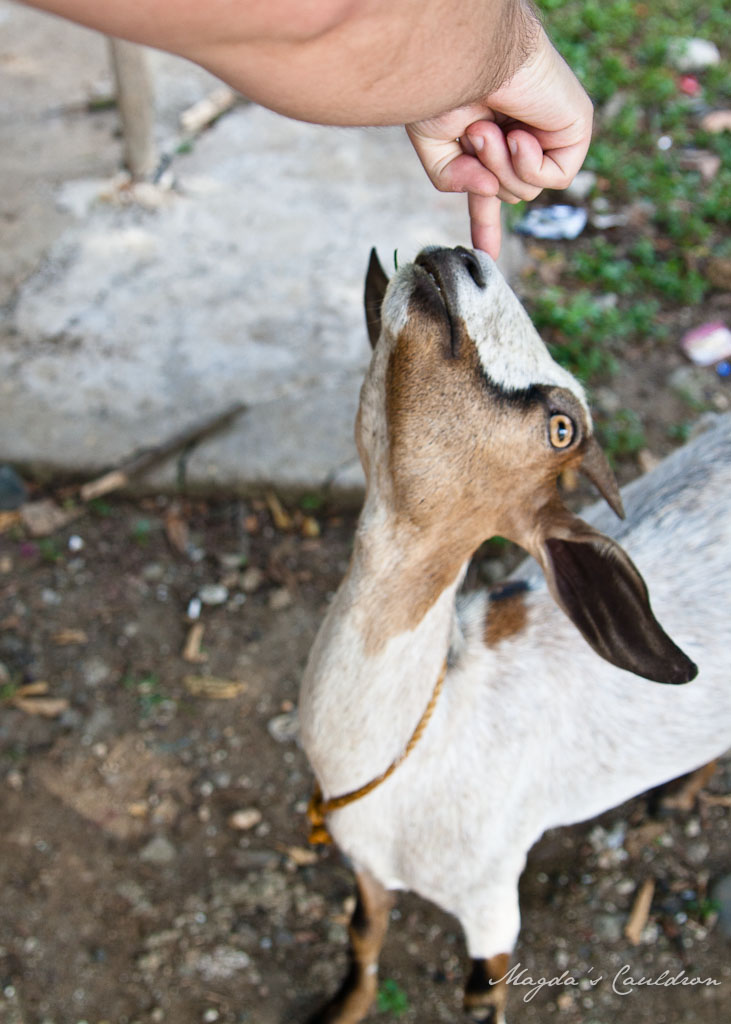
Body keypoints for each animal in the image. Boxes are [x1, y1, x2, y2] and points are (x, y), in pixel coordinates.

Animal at [298, 245, 731, 1023]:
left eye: (563, 428)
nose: (462, 256)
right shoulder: (365, 863)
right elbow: (361, 935)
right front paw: (340, 1010)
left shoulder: (491, 900)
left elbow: (481, 997)